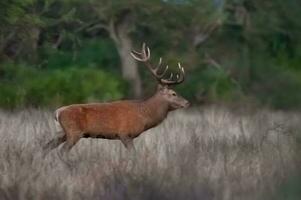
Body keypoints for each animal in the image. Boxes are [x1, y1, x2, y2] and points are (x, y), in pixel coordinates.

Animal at [42, 42, 188, 155]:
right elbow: (134, 155)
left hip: (62, 132)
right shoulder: (125, 134)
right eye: (173, 93)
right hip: (73, 132)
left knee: (45, 147)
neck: (144, 114)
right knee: (61, 151)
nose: (187, 103)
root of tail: (57, 112)